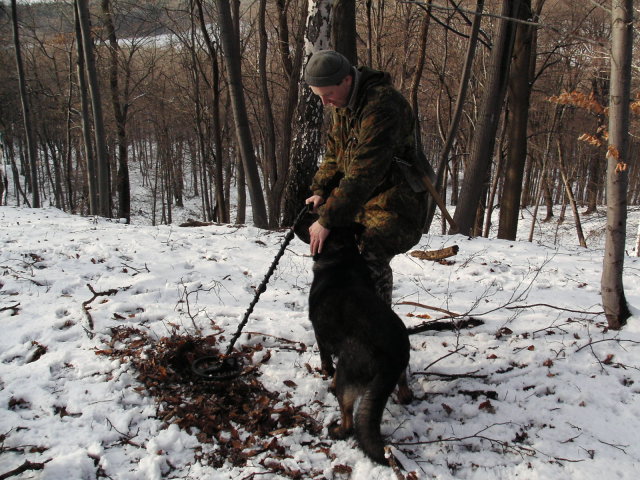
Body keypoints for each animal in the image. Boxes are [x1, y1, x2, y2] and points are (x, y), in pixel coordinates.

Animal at [296, 221, 410, 464]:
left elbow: (327, 362)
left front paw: (326, 376)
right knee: (404, 381)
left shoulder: (321, 336)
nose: (295, 223)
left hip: (348, 378)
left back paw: (337, 431)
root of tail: (393, 356)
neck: (342, 254)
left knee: (348, 420)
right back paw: (405, 393)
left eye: (311, 221)